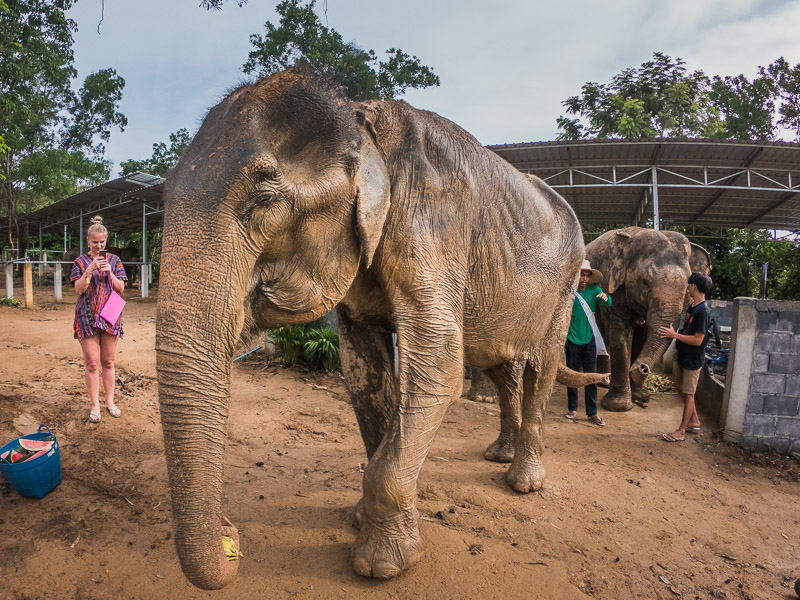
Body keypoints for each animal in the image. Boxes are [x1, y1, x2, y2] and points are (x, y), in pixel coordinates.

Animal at [155, 68, 580, 588]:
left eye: (263, 198)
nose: (230, 535)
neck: (363, 121)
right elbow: (362, 370)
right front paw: (365, 519)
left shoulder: (432, 224)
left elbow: (440, 362)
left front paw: (382, 564)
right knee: (502, 367)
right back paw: (499, 453)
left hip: (565, 287)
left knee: (542, 367)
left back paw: (523, 481)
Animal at [588, 226, 712, 412]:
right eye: (645, 283)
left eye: (687, 287)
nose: (643, 368)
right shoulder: (611, 285)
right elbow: (620, 334)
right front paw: (618, 407)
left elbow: (642, 336)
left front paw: (641, 396)